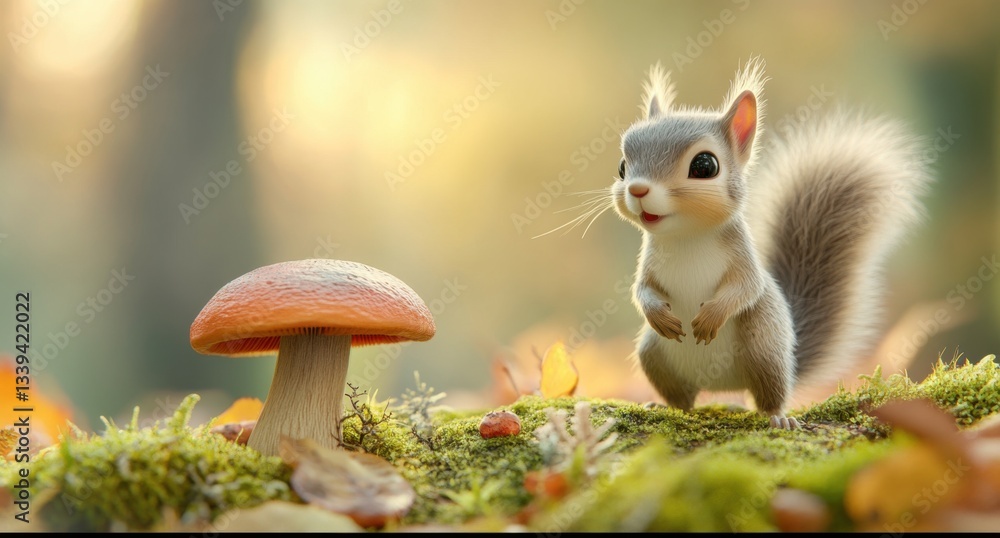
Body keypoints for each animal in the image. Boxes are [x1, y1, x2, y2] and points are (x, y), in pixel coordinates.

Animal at [612, 58, 931, 428]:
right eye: (622, 166)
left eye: (705, 165)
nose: (638, 189)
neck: (686, 236)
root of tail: (720, 384)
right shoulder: (649, 263)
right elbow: (641, 290)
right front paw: (656, 313)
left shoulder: (744, 261)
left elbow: (747, 288)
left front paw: (711, 317)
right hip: (653, 354)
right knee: (684, 398)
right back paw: (665, 406)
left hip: (762, 347)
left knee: (769, 395)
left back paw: (778, 417)